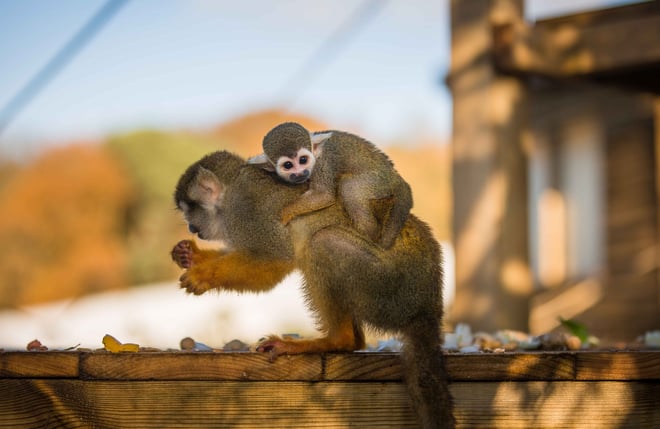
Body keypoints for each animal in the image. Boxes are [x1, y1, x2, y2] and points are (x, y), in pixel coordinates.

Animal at [171, 150, 455, 428]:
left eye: (188, 212)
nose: (191, 227)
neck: (229, 197)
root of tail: (428, 306)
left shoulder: (248, 213)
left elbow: (273, 263)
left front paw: (203, 275)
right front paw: (192, 256)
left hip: (389, 291)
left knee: (323, 242)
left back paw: (335, 340)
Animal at [247, 122, 413, 249]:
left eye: (303, 160)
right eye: (288, 165)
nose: (300, 173)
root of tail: (395, 176)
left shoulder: (323, 163)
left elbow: (324, 196)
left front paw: (284, 214)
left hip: (378, 181)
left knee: (349, 188)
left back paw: (367, 232)